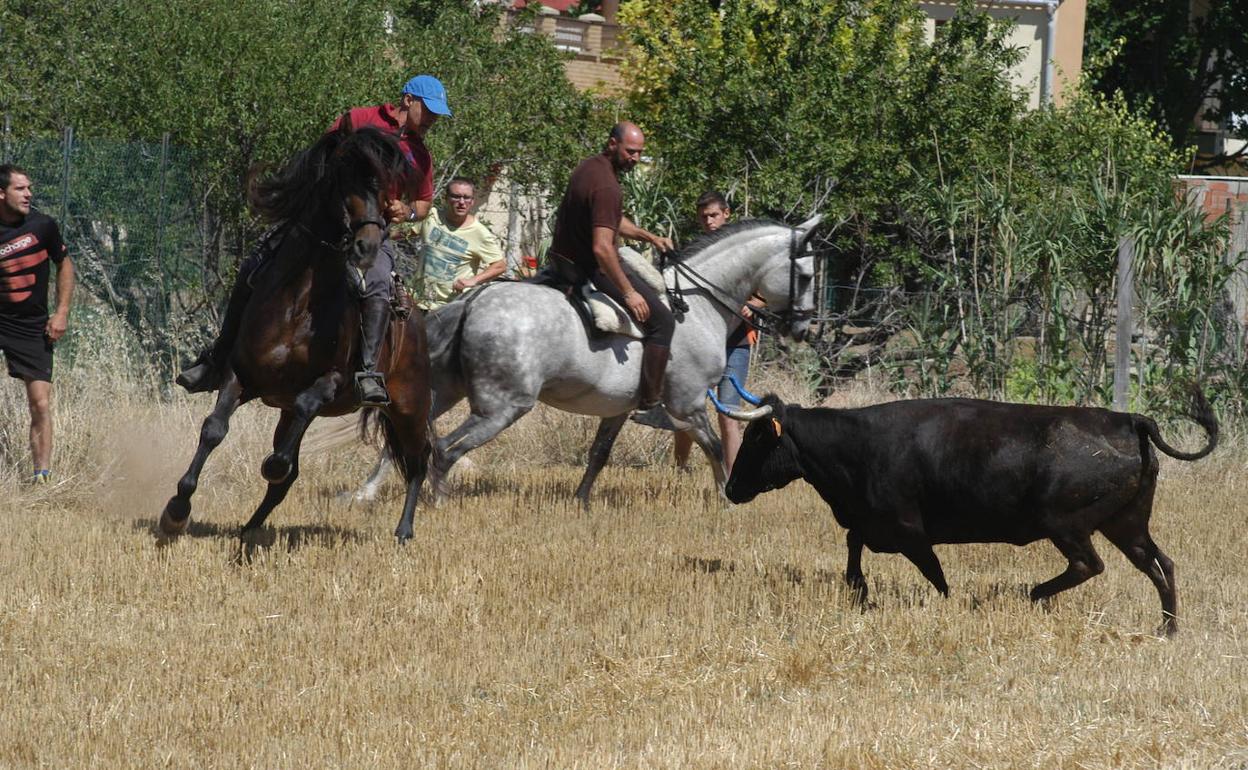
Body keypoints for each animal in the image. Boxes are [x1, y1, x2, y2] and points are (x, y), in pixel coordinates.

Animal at [158, 126, 431, 544]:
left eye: (384, 185)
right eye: (342, 179)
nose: (367, 245)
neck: (299, 301)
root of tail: (418, 320)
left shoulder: (331, 384)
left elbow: (300, 415)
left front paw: (272, 464)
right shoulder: (240, 375)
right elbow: (214, 430)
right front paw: (176, 509)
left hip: (409, 407)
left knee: (419, 460)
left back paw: (403, 531)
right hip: (291, 411)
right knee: (288, 480)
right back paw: (249, 529)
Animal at [351, 215, 818, 504]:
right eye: (807, 275)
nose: (806, 329)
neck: (698, 303)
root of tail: (475, 299)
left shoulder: (619, 409)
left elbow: (599, 454)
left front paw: (581, 501)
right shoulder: (687, 405)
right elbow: (717, 448)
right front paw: (726, 497)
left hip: (445, 391)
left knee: (408, 438)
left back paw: (363, 492)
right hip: (503, 407)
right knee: (446, 451)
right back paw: (435, 502)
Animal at [723, 394, 1218, 633]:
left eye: (755, 439)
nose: (730, 488)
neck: (856, 445)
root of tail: (1129, 420)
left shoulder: (908, 530)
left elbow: (935, 575)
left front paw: (948, 604)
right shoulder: (871, 523)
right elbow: (853, 548)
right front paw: (860, 592)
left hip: (1066, 524)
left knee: (1088, 564)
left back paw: (1033, 594)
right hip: (1126, 523)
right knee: (1160, 563)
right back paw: (1168, 627)